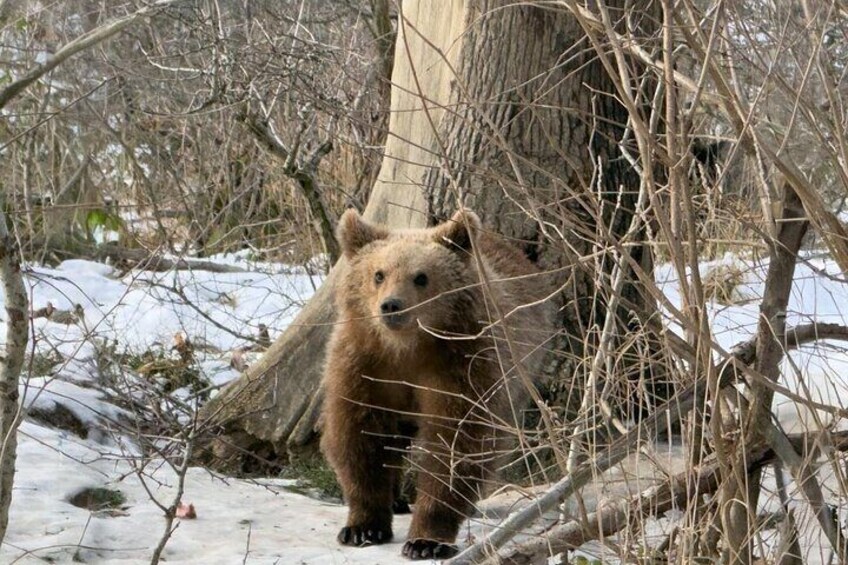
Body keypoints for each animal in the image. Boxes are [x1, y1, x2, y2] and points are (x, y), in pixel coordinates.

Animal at [320, 208, 556, 560]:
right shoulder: (364, 364)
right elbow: (359, 435)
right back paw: (396, 499)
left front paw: (426, 541)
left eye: (421, 277)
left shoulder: (462, 366)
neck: (408, 347)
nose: (391, 305)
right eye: (379, 274)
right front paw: (363, 526)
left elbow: (455, 443)